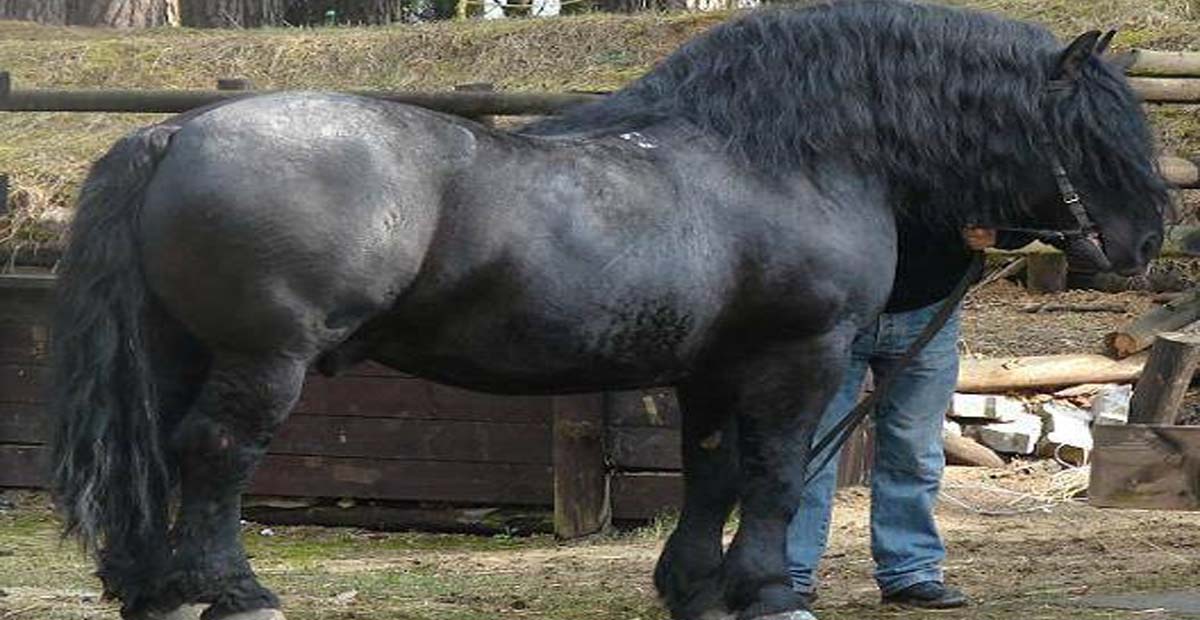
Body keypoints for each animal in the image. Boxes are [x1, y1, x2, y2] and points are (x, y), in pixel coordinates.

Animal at [51, 1, 1166, 618]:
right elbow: (772, 477)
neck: (785, 153)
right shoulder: (799, 358)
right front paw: (767, 592)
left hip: (180, 352)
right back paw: (236, 592)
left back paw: (153, 590)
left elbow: (712, 473)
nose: (1145, 243)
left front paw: (695, 589)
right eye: (1093, 129)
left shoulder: (715, 368)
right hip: (262, 360)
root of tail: (172, 134)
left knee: (159, 458)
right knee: (213, 460)